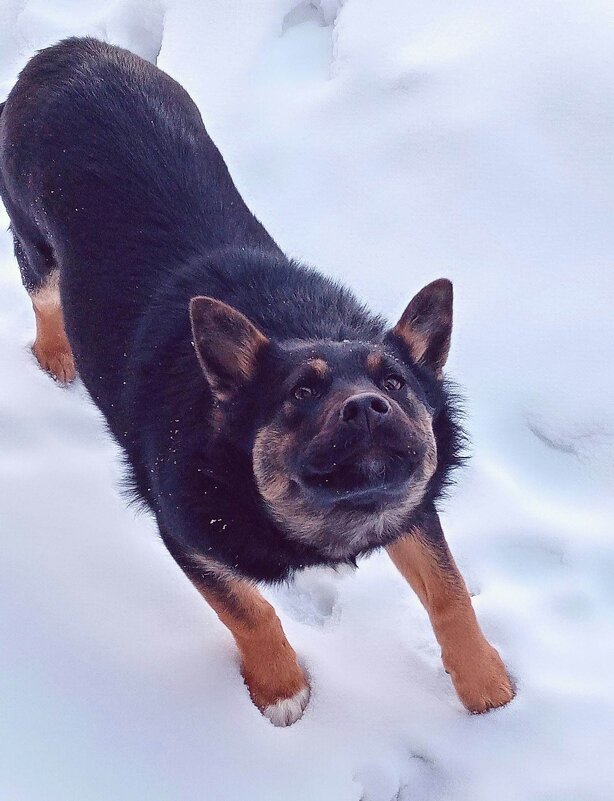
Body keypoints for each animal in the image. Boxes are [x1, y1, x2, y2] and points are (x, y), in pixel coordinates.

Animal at [0, 37, 516, 724]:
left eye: (396, 384)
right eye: (301, 393)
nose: (368, 408)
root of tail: (67, 49)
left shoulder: (409, 502)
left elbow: (449, 591)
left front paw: (484, 683)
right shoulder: (188, 536)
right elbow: (249, 610)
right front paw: (280, 688)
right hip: (32, 238)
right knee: (44, 297)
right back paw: (57, 357)